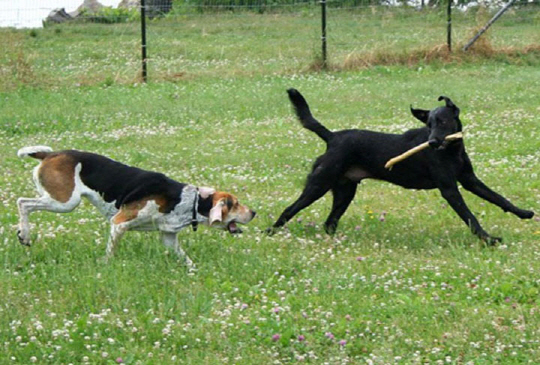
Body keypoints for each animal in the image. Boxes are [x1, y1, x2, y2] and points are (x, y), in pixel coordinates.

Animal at [268, 88, 532, 243]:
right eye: (429, 124)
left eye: (443, 121)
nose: (432, 142)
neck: (451, 150)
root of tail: (332, 137)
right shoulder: (449, 189)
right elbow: (470, 217)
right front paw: (488, 239)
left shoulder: (470, 181)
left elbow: (498, 198)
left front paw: (523, 213)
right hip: (319, 184)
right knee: (289, 210)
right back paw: (268, 232)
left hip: (344, 191)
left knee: (329, 222)